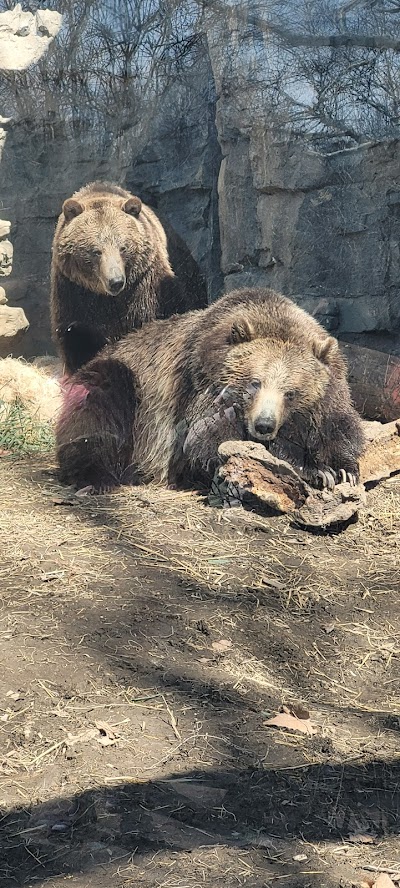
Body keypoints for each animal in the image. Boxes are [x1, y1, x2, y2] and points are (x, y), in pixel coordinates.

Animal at [50, 180, 206, 374]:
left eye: (123, 247)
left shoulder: (146, 286)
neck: (108, 298)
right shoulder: (74, 292)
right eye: (96, 251)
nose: (116, 281)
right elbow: (76, 338)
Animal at [56, 286, 366, 492]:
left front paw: (341, 468)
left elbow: (339, 425)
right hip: (128, 388)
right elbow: (210, 444)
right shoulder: (201, 390)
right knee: (100, 408)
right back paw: (96, 478)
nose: (264, 425)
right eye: (255, 382)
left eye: (291, 392)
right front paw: (314, 470)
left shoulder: (330, 392)